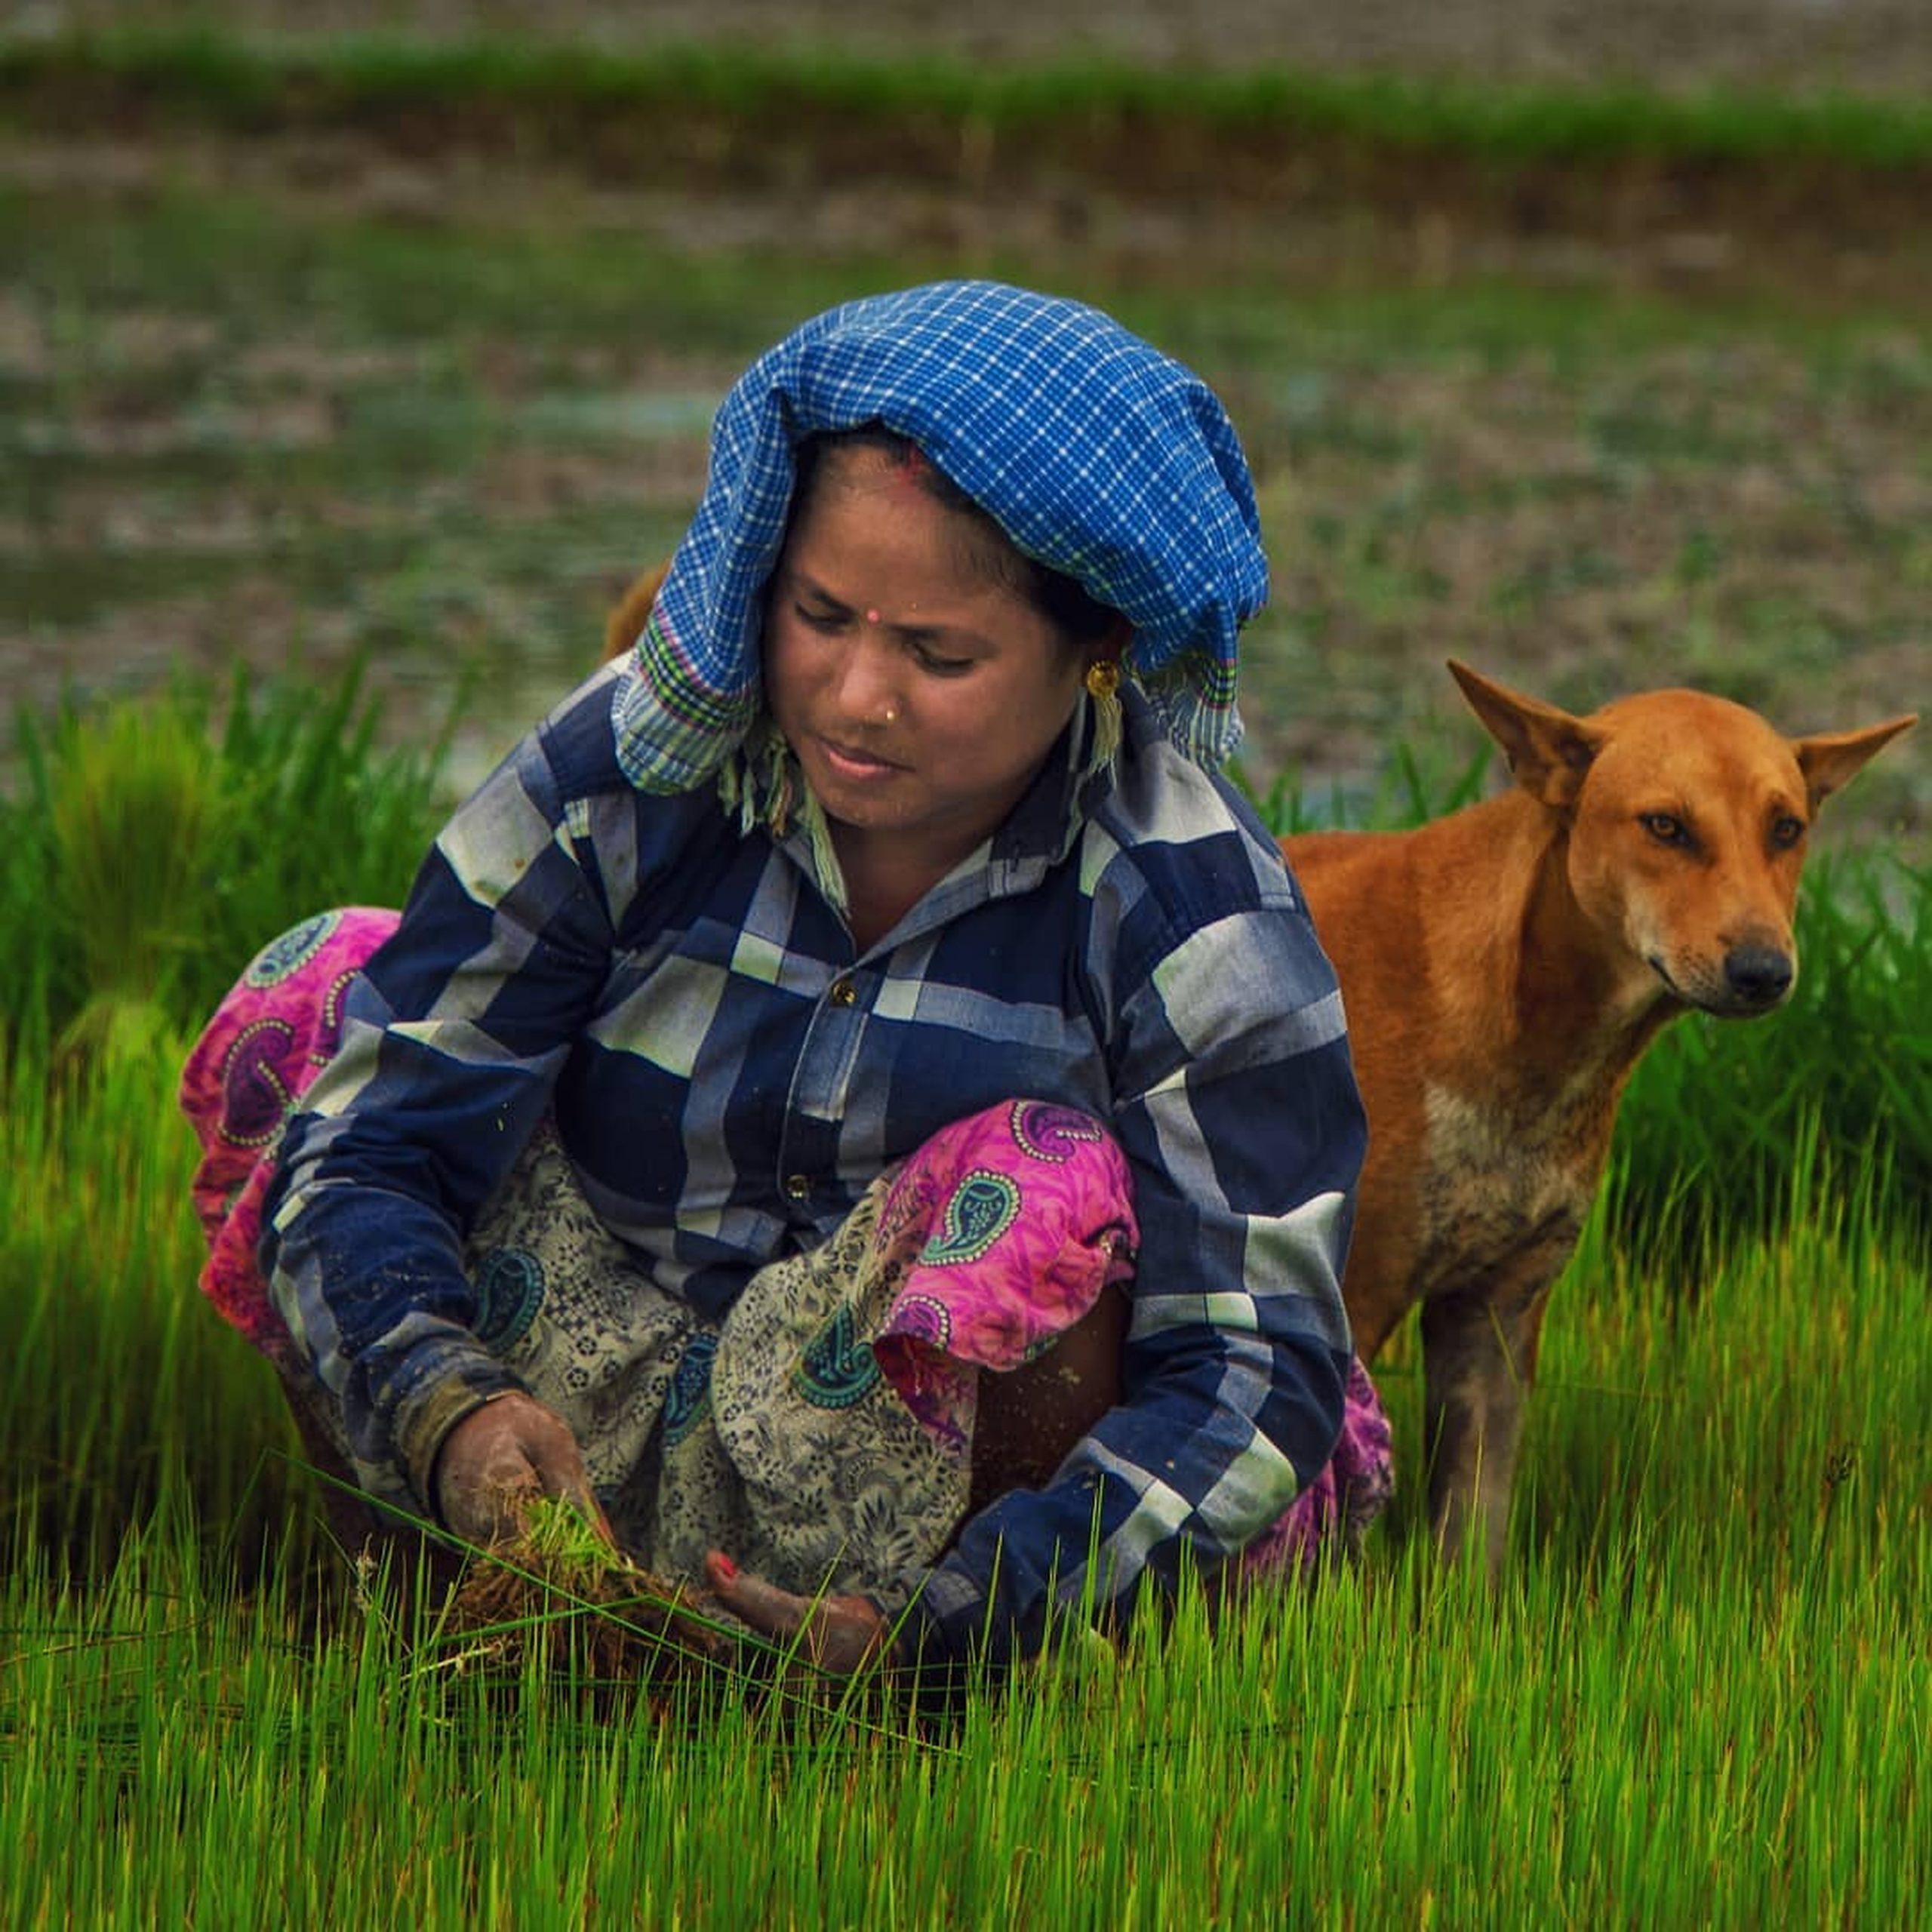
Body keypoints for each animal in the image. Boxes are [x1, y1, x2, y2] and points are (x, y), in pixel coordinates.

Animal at [1282, 660, 1916, 1568]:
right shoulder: (1349, 1301)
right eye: (1665, 826)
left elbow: (1471, 1546)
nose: (1765, 970)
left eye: (1787, 828)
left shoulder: (1499, 1312)